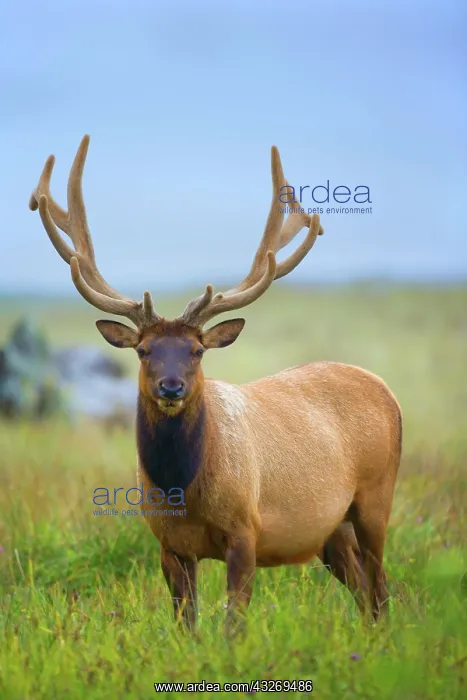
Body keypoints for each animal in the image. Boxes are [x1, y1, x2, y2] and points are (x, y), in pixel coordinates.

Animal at [29, 135, 402, 635]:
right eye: (143, 350)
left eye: (197, 350)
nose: (171, 388)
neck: (184, 494)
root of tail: (387, 391)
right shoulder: (168, 545)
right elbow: (186, 625)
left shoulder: (245, 530)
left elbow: (232, 627)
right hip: (332, 531)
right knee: (365, 595)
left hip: (376, 497)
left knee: (381, 589)